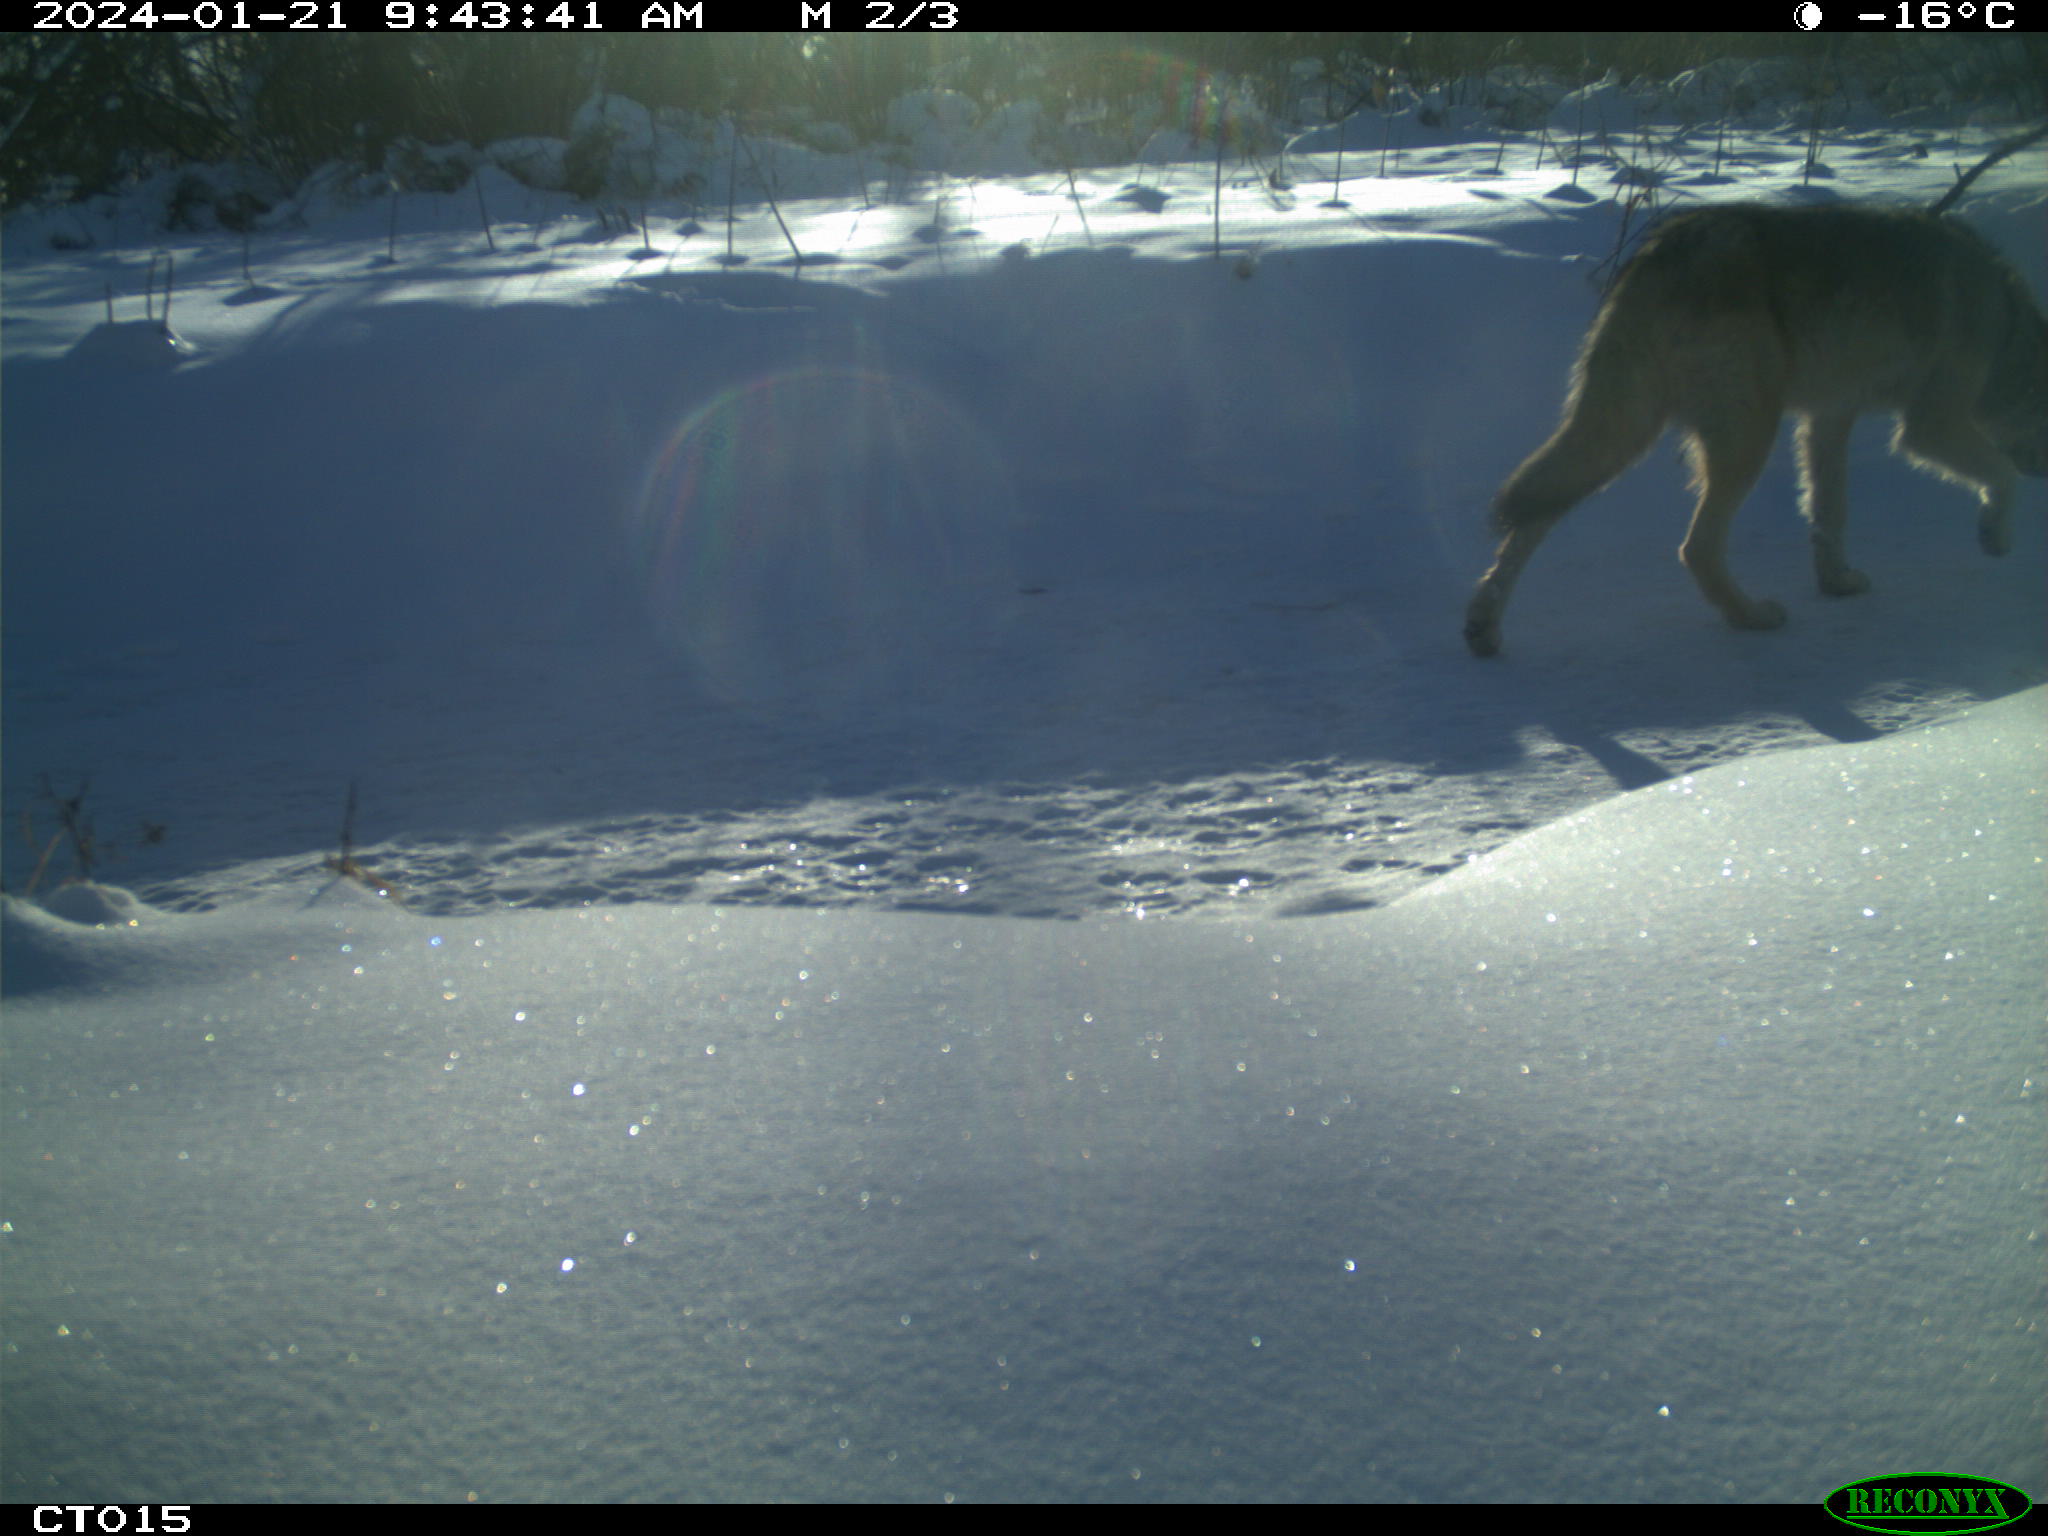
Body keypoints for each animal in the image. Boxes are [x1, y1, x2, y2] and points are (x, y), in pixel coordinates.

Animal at [1466, 201, 2039, 659]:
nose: (2044, 469)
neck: (2007, 323)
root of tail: (1661, 251)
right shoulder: (1930, 426)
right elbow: (2002, 476)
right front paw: (1996, 537)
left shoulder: (1829, 418)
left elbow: (1830, 512)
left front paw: (1836, 583)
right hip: (1744, 440)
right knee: (1696, 547)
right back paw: (1752, 617)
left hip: (1622, 435)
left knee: (1530, 517)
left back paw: (1483, 629)